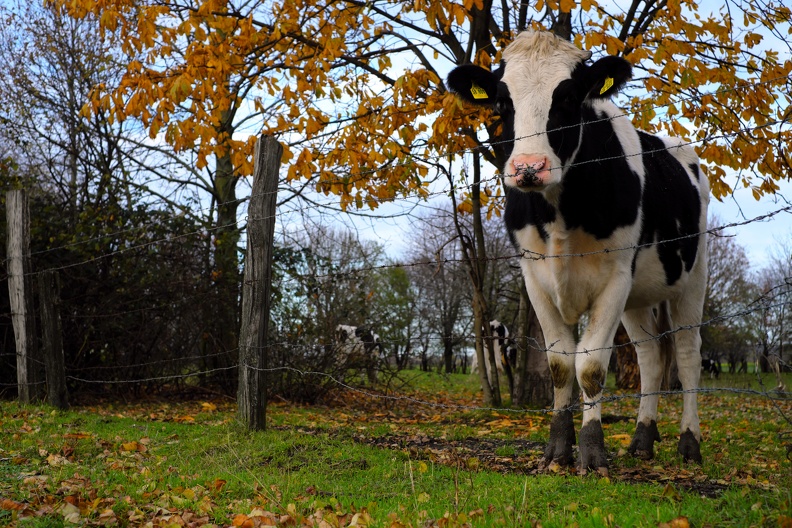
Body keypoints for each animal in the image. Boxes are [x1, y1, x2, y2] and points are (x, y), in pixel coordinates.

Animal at [446, 32, 712, 470]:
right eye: (502, 102)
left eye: (568, 97)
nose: (528, 167)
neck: (558, 213)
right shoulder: (534, 276)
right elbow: (559, 364)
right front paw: (557, 449)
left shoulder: (615, 277)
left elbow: (589, 365)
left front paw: (592, 450)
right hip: (639, 296)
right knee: (651, 357)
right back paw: (642, 439)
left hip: (694, 276)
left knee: (689, 356)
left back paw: (689, 444)